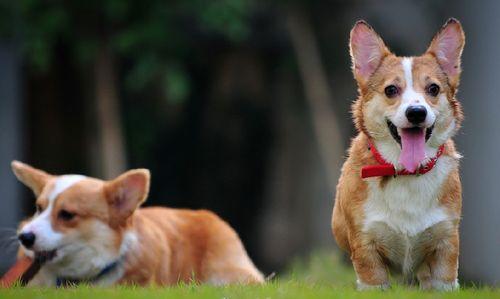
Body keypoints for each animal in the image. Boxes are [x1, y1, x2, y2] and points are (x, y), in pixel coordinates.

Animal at [332, 19, 464, 292]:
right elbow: (373, 280)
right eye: (391, 90)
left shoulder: (445, 242)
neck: (406, 173)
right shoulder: (366, 245)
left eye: (433, 88)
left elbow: (444, 281)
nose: (416, 112)